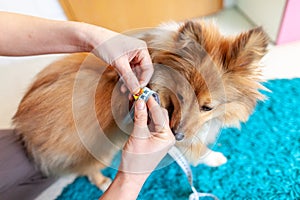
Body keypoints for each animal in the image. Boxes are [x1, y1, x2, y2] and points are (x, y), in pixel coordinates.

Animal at [12, 20, 268, 191]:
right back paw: (103, 182)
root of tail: (21, 122)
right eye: (180, 97)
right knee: (88, 169)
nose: (176, 134)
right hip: (100, 147)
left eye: (207, 107)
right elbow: (199, 150)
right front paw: (216, 158)